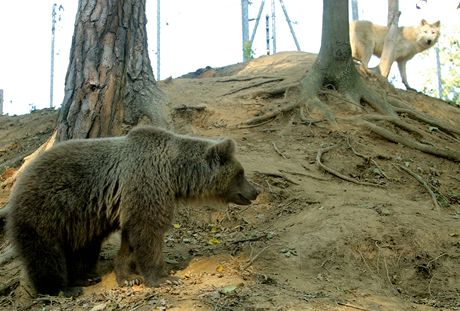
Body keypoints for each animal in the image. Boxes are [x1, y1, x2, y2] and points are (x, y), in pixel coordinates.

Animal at [5, 127, 258, 298]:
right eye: (241, 173)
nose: (255, 192)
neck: (174, 173)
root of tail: (19, 178)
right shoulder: (148, 182)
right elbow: (148, 233)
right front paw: (164, 278)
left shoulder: (134, 200)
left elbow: (131, 239)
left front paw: (127, 277)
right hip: (45, 209)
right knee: (44, 253)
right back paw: (62, 288)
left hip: (80, 221)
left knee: (83, 248)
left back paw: (86, 276)